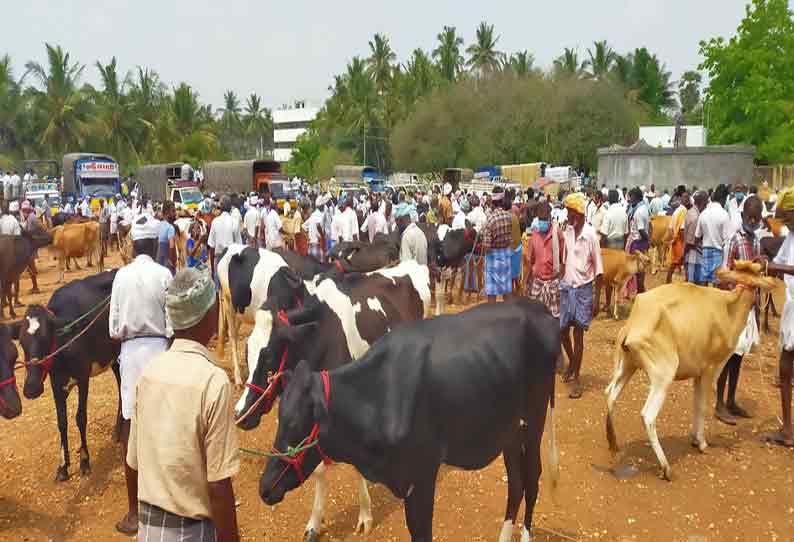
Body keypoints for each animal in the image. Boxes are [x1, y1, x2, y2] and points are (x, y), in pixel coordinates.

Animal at [17, 274, 120, 482]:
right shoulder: (56, 383)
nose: (31, 388)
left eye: (46, 339)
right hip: (113, 357)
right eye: (22, 342)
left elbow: (80, 417)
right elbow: (61, 421)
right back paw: (117, 430)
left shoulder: (83, 378)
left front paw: (84, 461)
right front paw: (63, 466)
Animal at [235, 262, 430, 540]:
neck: (322, 337)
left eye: (270, 356)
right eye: (247, 351)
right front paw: (314, 523)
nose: (241, 414)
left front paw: (365, 515)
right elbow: (317, 468)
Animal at [256, 300, 552, 542]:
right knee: (516, 483)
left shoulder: (422, 476)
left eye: (295, 424)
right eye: (280, 420)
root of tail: (539, 308)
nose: (264, 488)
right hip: (510, 432)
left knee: (532, 478)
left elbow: (422, 533)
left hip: (534, 423)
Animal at [604, 268, 772, 480]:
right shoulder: (710, 369)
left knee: (610, 397)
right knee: (647, 415)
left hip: (626, 367)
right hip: (662, 376)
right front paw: (702, 443)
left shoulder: (698, 374)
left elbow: (696, 403)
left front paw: (694, 439)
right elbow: (702, 406)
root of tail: (632, 326)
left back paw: (613, 444)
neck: (728, 308)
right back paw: (666, 468)